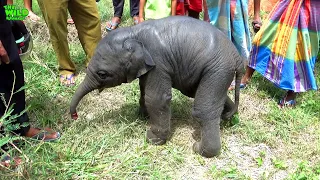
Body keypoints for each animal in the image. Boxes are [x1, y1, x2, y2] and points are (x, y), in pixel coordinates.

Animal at [70, 16, 244, 158]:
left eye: (102, 74)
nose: (75, 116)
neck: (133, 33)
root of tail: (237, 57)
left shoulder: (158, 62)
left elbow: (157, 99)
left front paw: (151, 139)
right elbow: (144, 89)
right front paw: (142, 116)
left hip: (218, 69)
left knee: (203, 110)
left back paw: (199, 149)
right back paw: (227, 119)